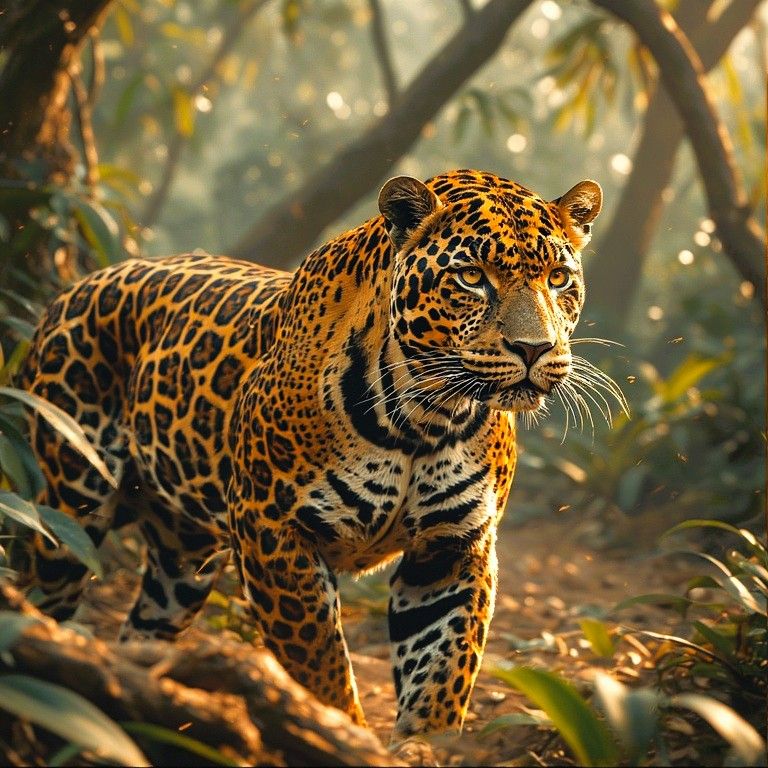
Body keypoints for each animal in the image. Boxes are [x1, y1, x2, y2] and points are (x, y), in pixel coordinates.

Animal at [16, 169, 602, 743]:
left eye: (558, 278)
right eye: (472, 277)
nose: (535, 349)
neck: (425, 417)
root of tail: (70, 290)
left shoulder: (453, 546)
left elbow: (443, 671)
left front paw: (422, 746)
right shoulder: (272, 531)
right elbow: (319, 666)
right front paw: (337, 733)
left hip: (181, 562)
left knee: (141, 632)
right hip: (70, 511)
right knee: (38, 603)